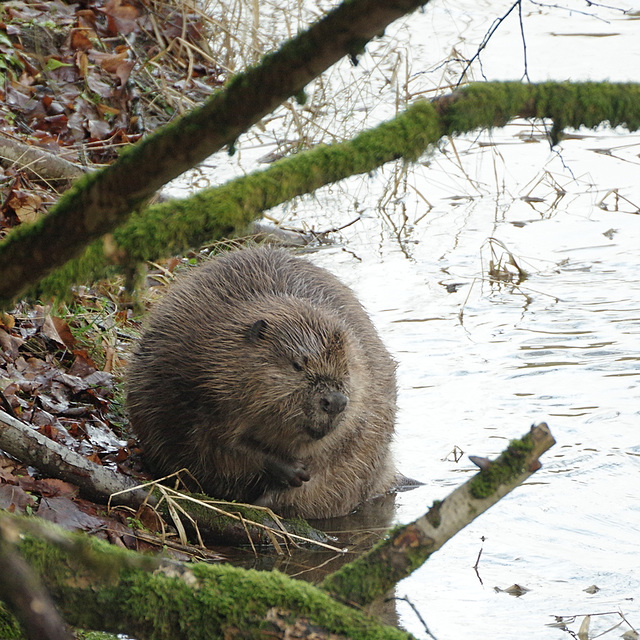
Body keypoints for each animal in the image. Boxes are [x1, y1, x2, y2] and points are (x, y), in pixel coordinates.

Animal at [127, 245, 398, 520]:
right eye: (297, 364)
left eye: (348, 369)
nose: (335, 401)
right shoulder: (185, 385)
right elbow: (215, 444)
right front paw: (289, 471)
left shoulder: (364, 412)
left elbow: (337, 460)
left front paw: (283, 487)